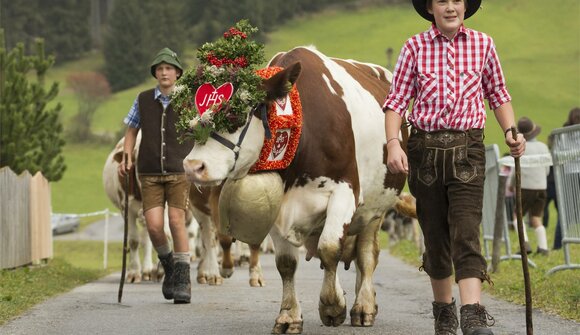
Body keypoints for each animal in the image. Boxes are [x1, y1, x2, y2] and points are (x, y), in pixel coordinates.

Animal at [179, 21, 410, 334]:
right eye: (191, 118)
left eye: (235, 115)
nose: (193, 166)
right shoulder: (279, 203)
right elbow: (288, 263)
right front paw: (289, 315)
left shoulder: (346, 191)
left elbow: (330, 248)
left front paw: (332, 305)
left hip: (376, 207)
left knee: (365, 254)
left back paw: (363, 306)